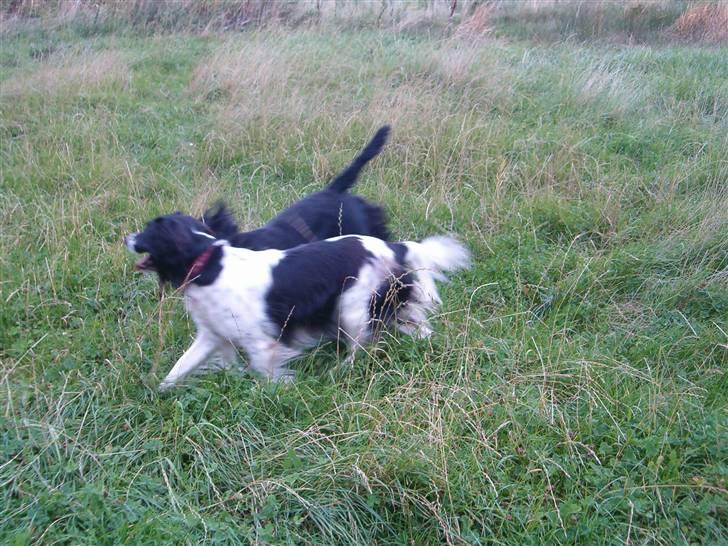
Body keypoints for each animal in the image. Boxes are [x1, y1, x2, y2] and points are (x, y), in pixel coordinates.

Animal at [126, 211, 470, 386]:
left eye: (146, 232)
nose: (126, 236)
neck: (208, 263)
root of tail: (394, 246)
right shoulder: (212, 335)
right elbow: (179, 369)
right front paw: (156, 392)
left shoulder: (261, 344)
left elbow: (266, 376)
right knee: (417, 326)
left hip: (351, 309)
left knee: (360, 348)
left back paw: (339, 371)